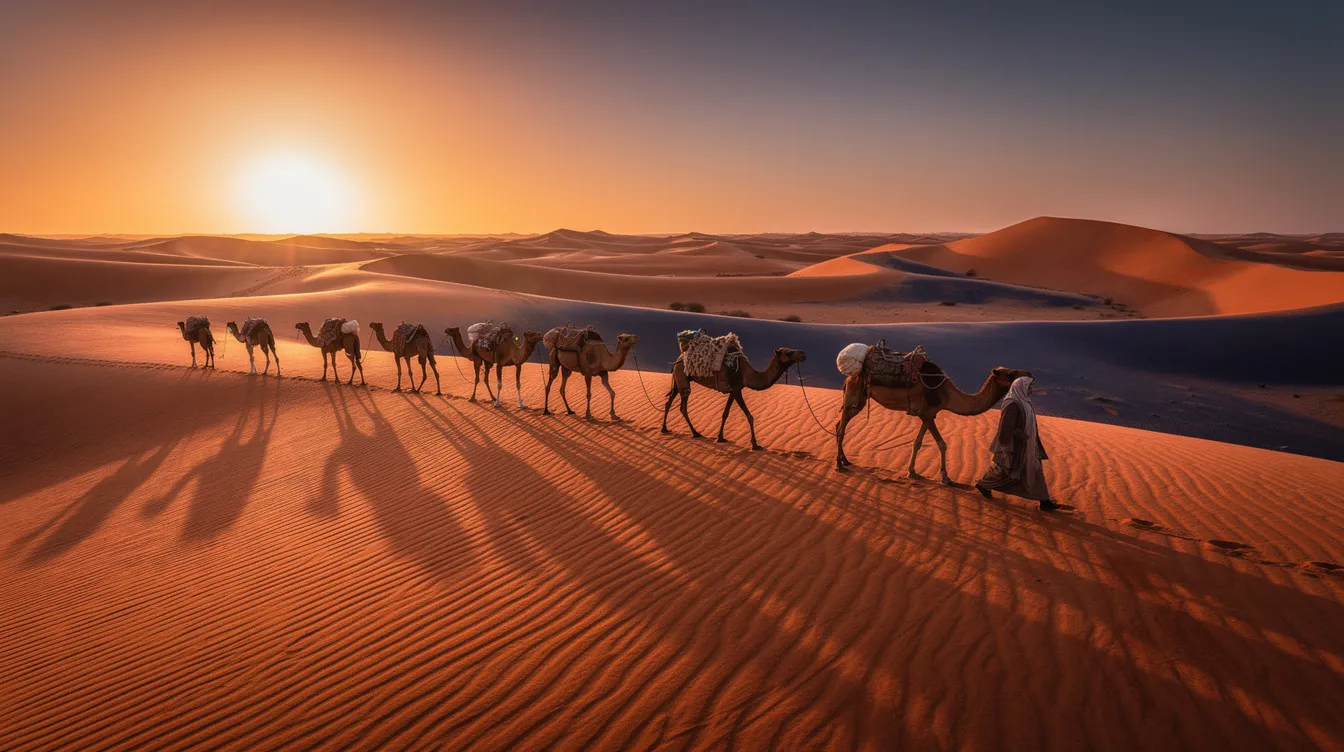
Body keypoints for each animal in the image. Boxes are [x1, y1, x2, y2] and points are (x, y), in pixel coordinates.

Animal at [660, 342, 807, 450]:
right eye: (788, 353)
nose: (803, 354)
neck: (745, 374)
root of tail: (678, 360)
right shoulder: (736, 388)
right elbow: (750, 416)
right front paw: (755, 444)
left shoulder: (733, 390)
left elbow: (725, 413)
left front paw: (720, 437)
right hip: (682, 377)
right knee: (683, 406)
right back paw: (695, 433)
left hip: (678, 380)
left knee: (669, 401)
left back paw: (664, 429)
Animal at [834, 362, 1034, 483]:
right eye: (1010, 374)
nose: (1029, 374)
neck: (948, 393)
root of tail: (849, 377)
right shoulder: (927, 414)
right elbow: (942, 444)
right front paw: (945, 477)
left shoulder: (927, 415)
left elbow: (917, 442)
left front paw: (912, 472)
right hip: (854, 393)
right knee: (842, 426)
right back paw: (839, 465)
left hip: (860, 398)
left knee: (839, 424)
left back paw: (846, 460)